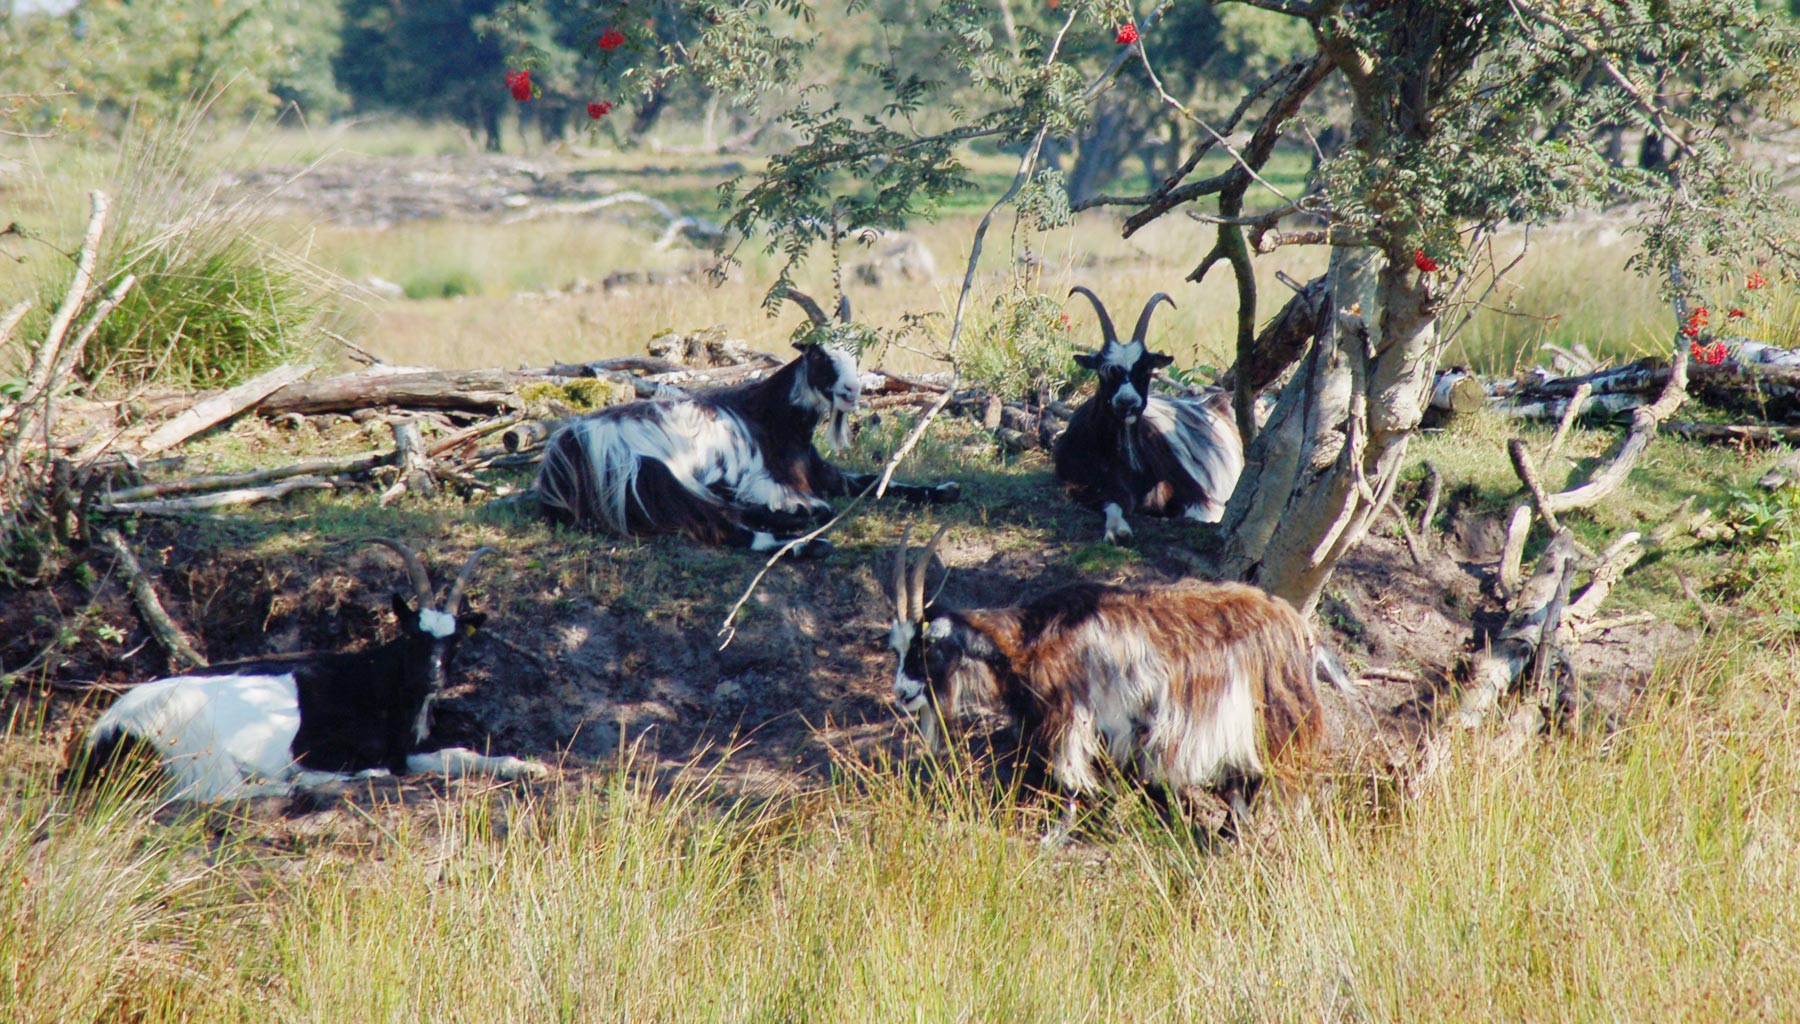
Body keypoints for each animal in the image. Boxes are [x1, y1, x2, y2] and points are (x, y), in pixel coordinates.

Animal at [70, 539, 543, 802]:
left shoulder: (404, 748)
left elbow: (453, 754)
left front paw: (525, 767)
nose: (433, 677)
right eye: (413, 636)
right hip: (196, 748)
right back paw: (296, 786)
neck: (374, 680)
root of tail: (105, 733)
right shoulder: (320, 748)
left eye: (454, 641)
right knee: (212, 793)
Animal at [529, 287, 957, 554]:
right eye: (818, 354)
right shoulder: (764, 479)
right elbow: (825, 502)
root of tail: (567, 451)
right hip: (659, 478)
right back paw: (808, 542)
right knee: (726, 528)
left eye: (857, 352)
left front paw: (944, 488)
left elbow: (874, 481)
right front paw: (799, 513)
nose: (851, 391)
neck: (774, 416)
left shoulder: (820, 472)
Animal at [885, 521, 1339, 835]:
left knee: (1264, 778)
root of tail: (1302, 633)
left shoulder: (1071, 713)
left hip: (1274, 716)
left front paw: (1056, 834)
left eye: (927, 647)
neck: (1028, 639)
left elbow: (1067, 778)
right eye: (898, 648)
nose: (902, 693)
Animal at [1051, 286, 1245, 543]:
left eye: (1146, 370)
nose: (1127, 402)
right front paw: (1117, 530)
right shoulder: (1084, 484)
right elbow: (1111, 502)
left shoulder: (1198, 496)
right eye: (1104, 371)